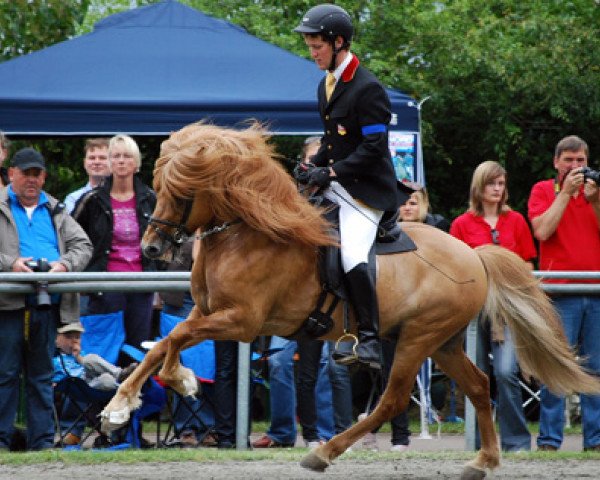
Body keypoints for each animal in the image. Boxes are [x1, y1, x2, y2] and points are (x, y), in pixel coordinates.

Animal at [102, 124, 600, 480]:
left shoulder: (241, 321)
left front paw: (165, 387)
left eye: (183, 191)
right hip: (442, 342)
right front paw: (128, 403)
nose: (149, 249)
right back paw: (483, 462)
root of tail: (473, 254)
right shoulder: (207, 312)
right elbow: (165, 342)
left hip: (417, 340)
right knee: (478, 386)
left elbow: (174, 339)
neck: (248, 232)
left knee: (393, 400)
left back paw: (324, 451)